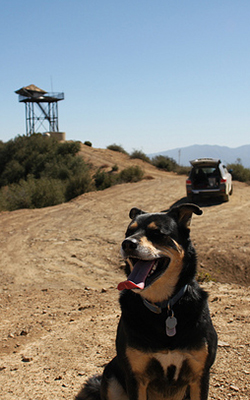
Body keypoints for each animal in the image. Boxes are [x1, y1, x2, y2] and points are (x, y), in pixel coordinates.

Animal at [76, 205, 217, 398]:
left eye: (156, 232)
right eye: (128, 232)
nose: (127, 243)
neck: (164, 307)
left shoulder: (199, 375)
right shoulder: (136, 376)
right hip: (111, 377)